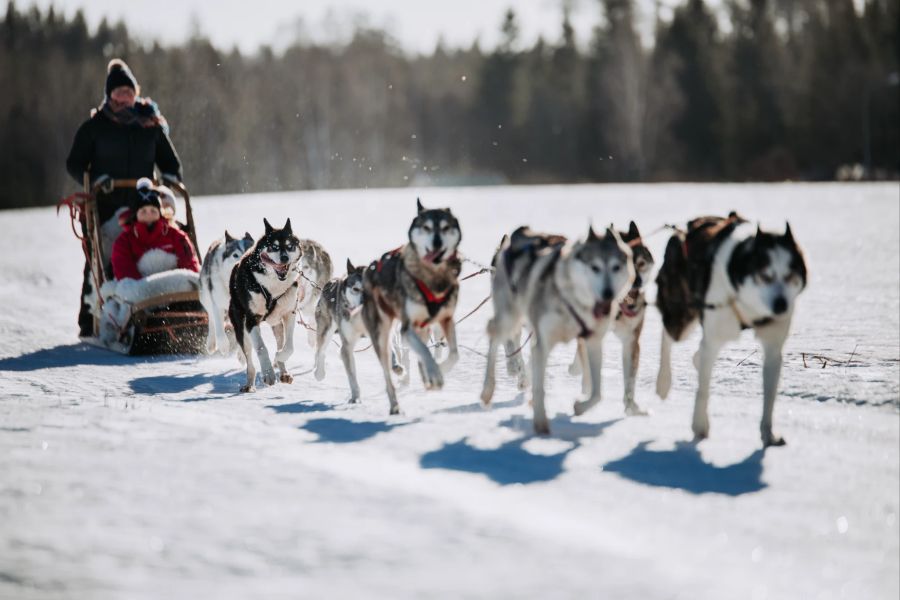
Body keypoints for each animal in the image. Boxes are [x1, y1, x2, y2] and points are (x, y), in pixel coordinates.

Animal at [229, 218, 302, 392]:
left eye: (290, 246)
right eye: (273, 246)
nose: (284, 258)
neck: (273, 287)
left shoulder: (289, 313)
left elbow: (289, 347)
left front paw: (279, 357)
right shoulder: (251, 320)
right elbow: (261, 348)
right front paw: (268, 373)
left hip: (277, 325)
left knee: (281, 341)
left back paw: (283, 371)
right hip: (241, 327)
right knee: (249, 360)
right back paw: (249, 384)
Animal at [360, 199, 460, 414]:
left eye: (445, 227)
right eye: (426, 227)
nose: (437, 243)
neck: (433, 276)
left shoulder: (446, 319)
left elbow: (454, 355)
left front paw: (436, 372)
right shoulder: (407, 329)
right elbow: (424, 352)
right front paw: (434, 374)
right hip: (382, 335)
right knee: (388, 374)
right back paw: (395, 405)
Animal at [652, 213, 808, 448]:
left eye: (790, 275)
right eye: (765, 275)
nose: (781, 305)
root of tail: (682, 231)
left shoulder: (773, 347)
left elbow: (769, 395)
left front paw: (768, 434)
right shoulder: (713, 338)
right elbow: (703, 390)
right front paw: (700, 426)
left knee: (697, 354)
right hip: (682, 315)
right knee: (667, 337)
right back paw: (663, 382)